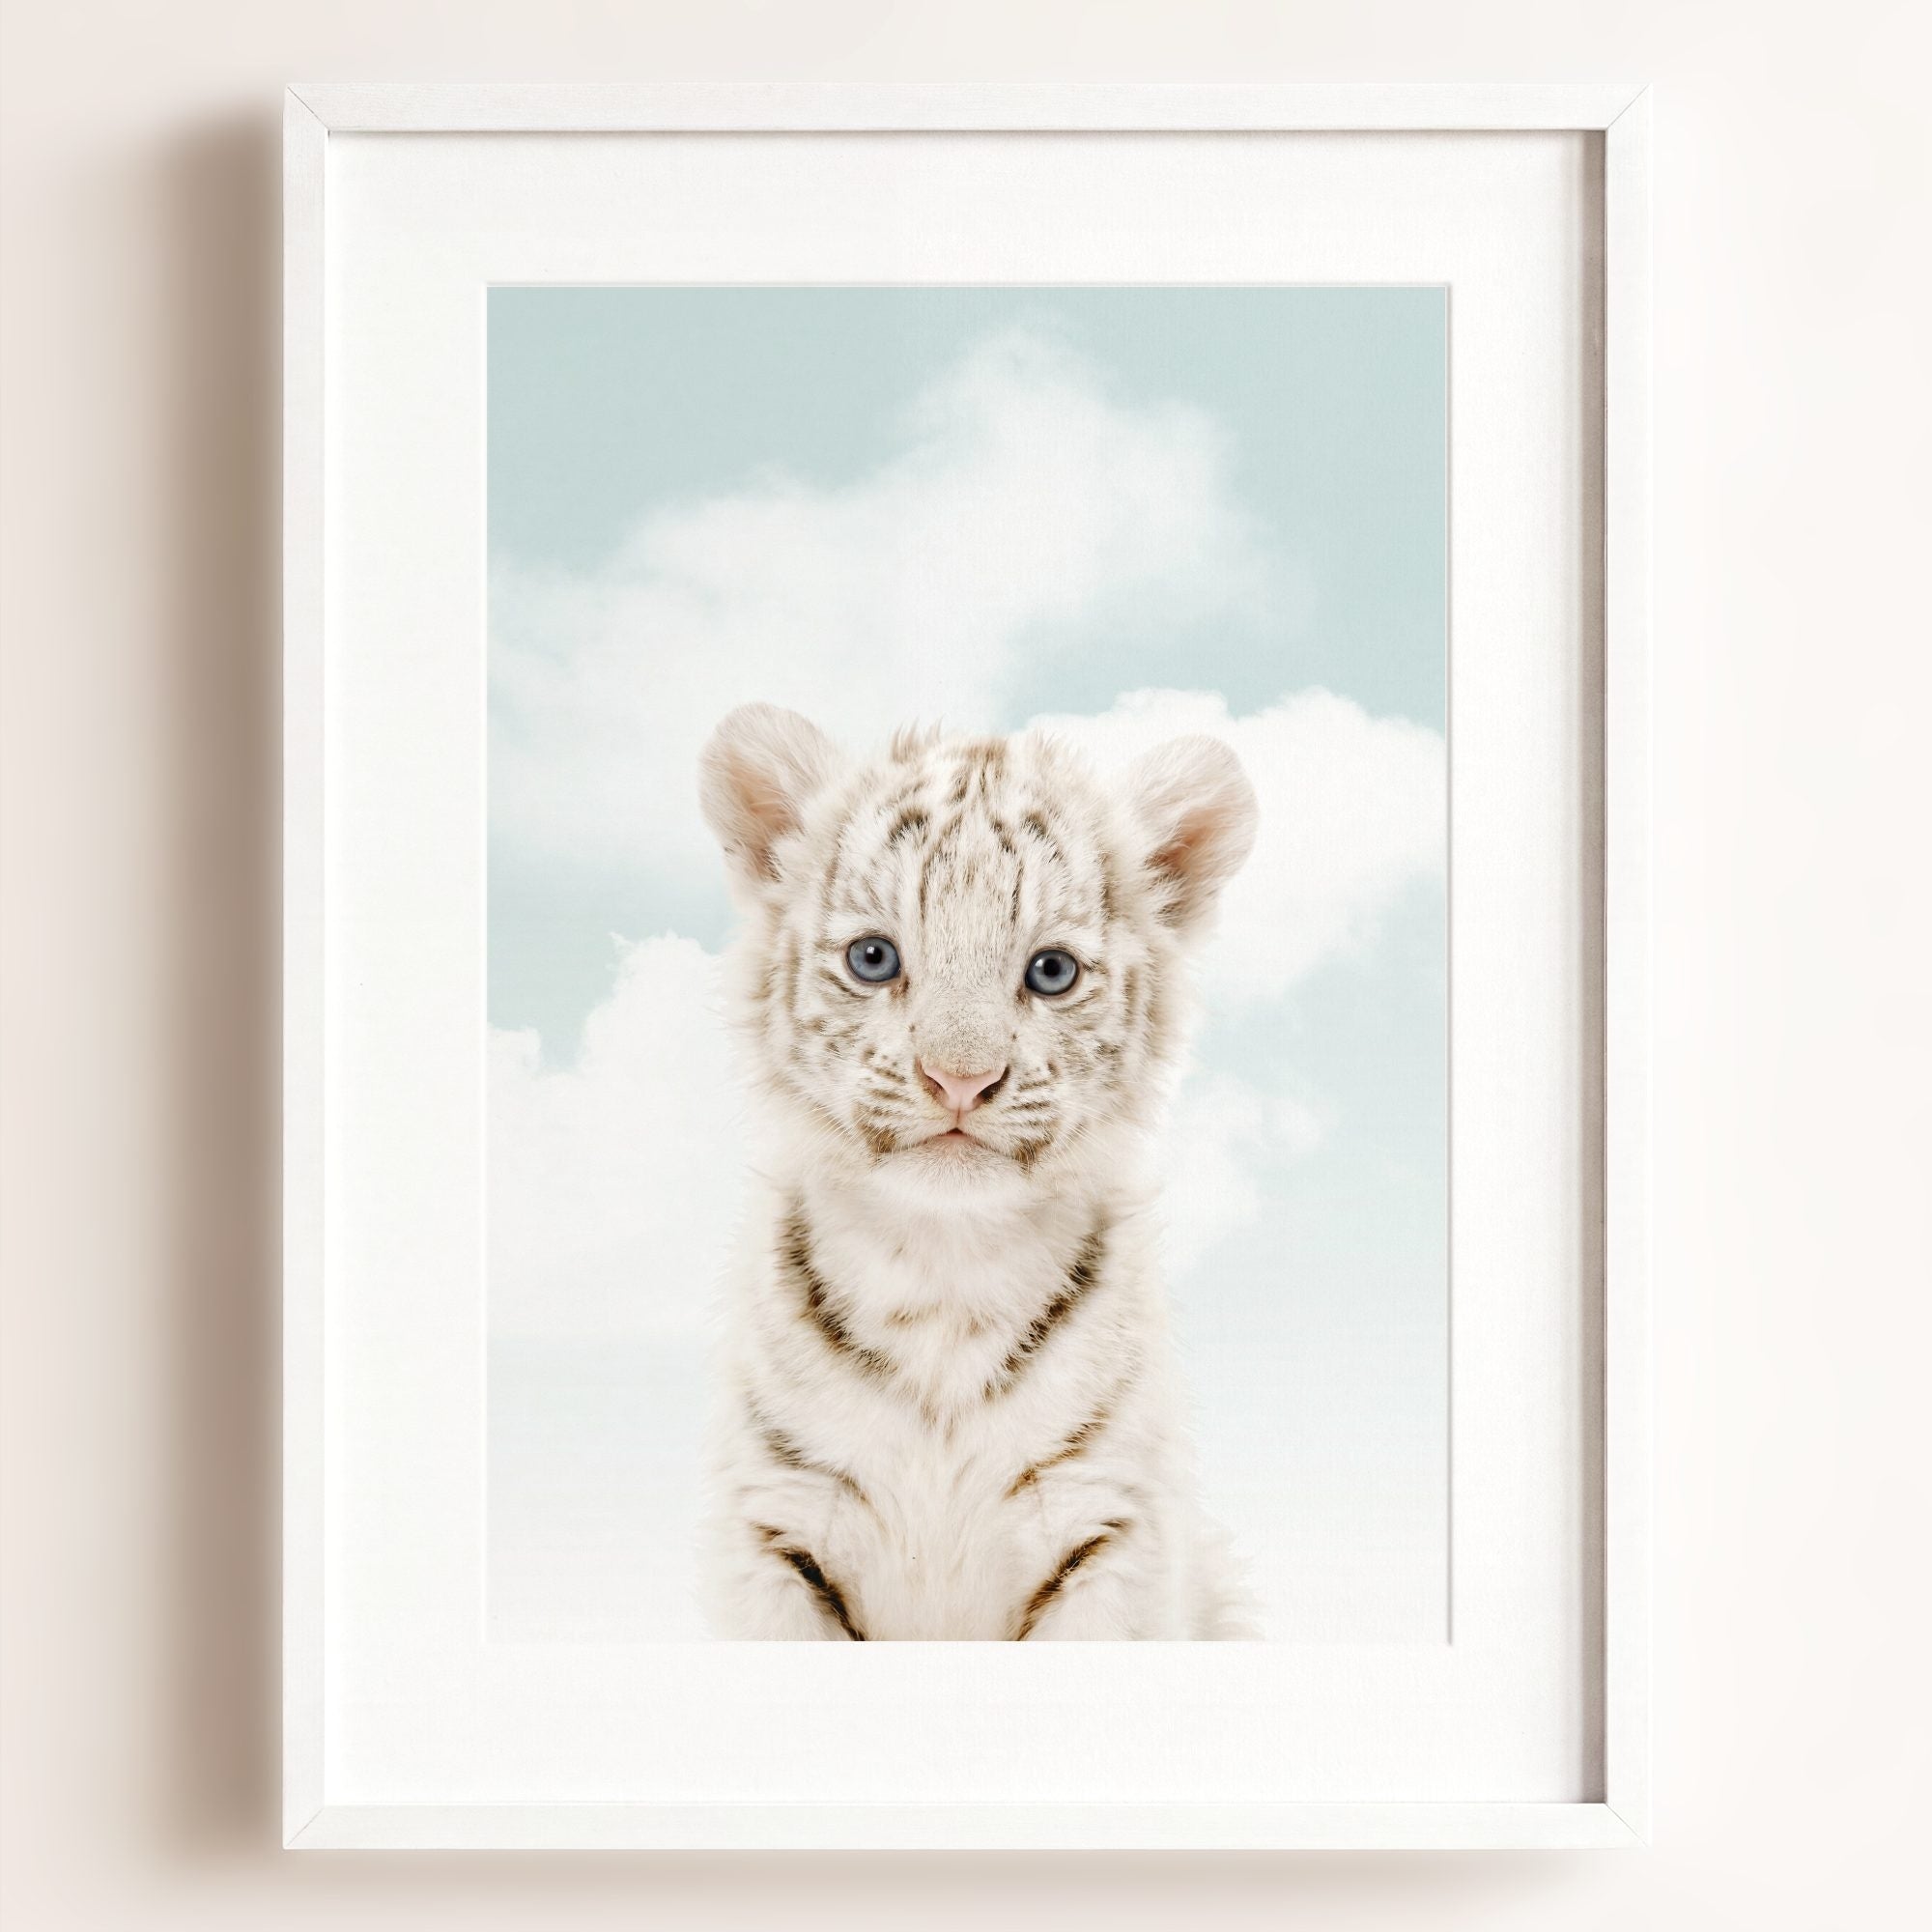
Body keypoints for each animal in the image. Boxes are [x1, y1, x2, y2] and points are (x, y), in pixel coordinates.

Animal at [696, 702, 1260, 1639]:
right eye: (874, 959)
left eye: (1051, 971)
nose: (959, 1079)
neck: (943, 1270)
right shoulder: (776, 1526)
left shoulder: (1109, 1527)